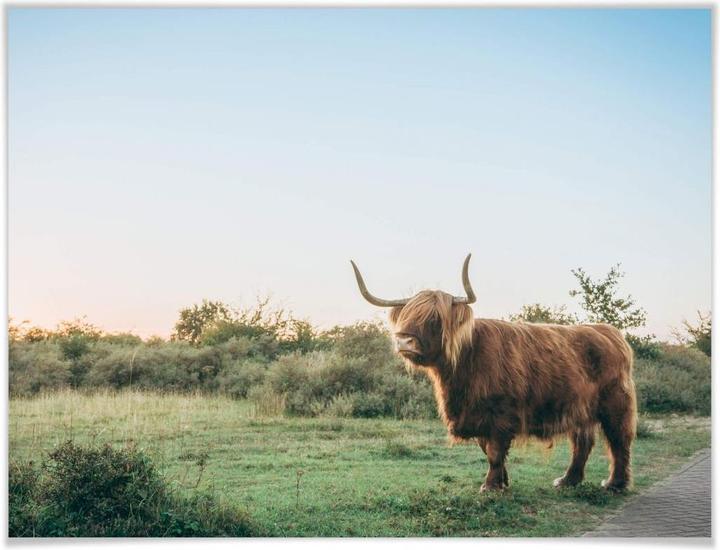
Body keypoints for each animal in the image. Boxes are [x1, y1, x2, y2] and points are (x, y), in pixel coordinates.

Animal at [350, 254, 637, 492]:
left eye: (435, 319)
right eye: (406, 315)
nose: (403, 341)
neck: (465, 363)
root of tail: (607, 331)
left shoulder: (502, 413)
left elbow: (495, 452)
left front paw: (490, 487)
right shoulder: (476, 414)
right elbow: (487, 449)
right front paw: (502, 482)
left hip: (615, 403)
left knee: (619, 440)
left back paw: (615, 483)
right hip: (580, 407)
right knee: (582, 442)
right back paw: (568, 480)